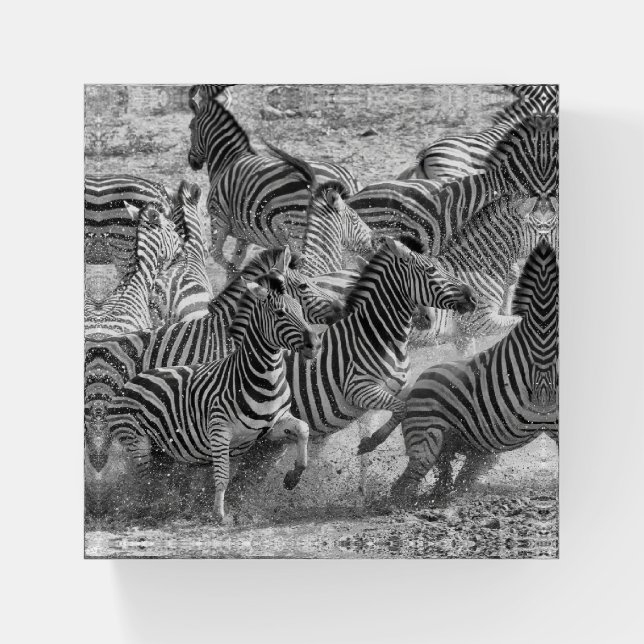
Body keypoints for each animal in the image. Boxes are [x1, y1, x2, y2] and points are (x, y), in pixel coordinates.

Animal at [109, 272, 320, 522]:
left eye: (300, 310)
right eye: (280, 314)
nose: (315, 345)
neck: (262, 378)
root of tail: (130, 382)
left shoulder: (271, 425)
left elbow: (303, 429)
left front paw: (293, 477)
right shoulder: (219, 431)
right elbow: (222, 476)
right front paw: (219, 514)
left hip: (162, 451)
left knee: (159, 480)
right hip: (137, 441)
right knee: (146, 483)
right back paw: (152, 511)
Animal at [187, 84, 361, 273]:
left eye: (191, 127)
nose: (192, 162)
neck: (227, 160)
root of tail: (347, 178)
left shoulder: (218, 219)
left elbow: (218, 256)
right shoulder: (245, 234)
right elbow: (235, 260)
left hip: (298, 231)